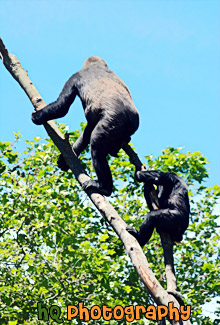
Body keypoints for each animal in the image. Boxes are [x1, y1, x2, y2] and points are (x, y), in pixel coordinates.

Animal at [31, 56, 139, 195]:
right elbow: (88, 130)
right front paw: (66, 158)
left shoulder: (74, 77)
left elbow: (62, 107)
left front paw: (37, 117)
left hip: (113, 123)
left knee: (96, 146)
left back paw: (104, 187)